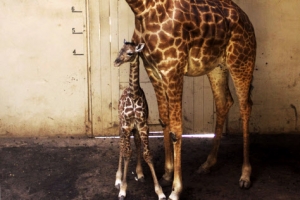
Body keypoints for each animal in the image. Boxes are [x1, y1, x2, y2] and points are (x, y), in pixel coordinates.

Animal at [113, 39, 165, 200]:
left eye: (130, 53)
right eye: (120, 50)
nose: (116, 62)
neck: (134, 94)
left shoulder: (143, 126)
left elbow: (147, 154)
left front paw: (160, 191)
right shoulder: (126, 125)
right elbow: (126, 153)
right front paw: (123, 189)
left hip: (134, 129)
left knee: (135, 143)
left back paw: (140, 173)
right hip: (121, 124)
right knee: (121, 146)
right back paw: (118, 178)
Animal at [124, 0, 255, 198]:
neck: (141, 11)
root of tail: (247, 20)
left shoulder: (173, 69)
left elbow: (177, 129)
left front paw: (176, 189)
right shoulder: (153, 70)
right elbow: (165, 121)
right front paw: (167, 175)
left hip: (242, 62)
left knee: (245, 106)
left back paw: (245, 175)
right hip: (217, 67)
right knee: (224, 102)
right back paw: (208, 164)